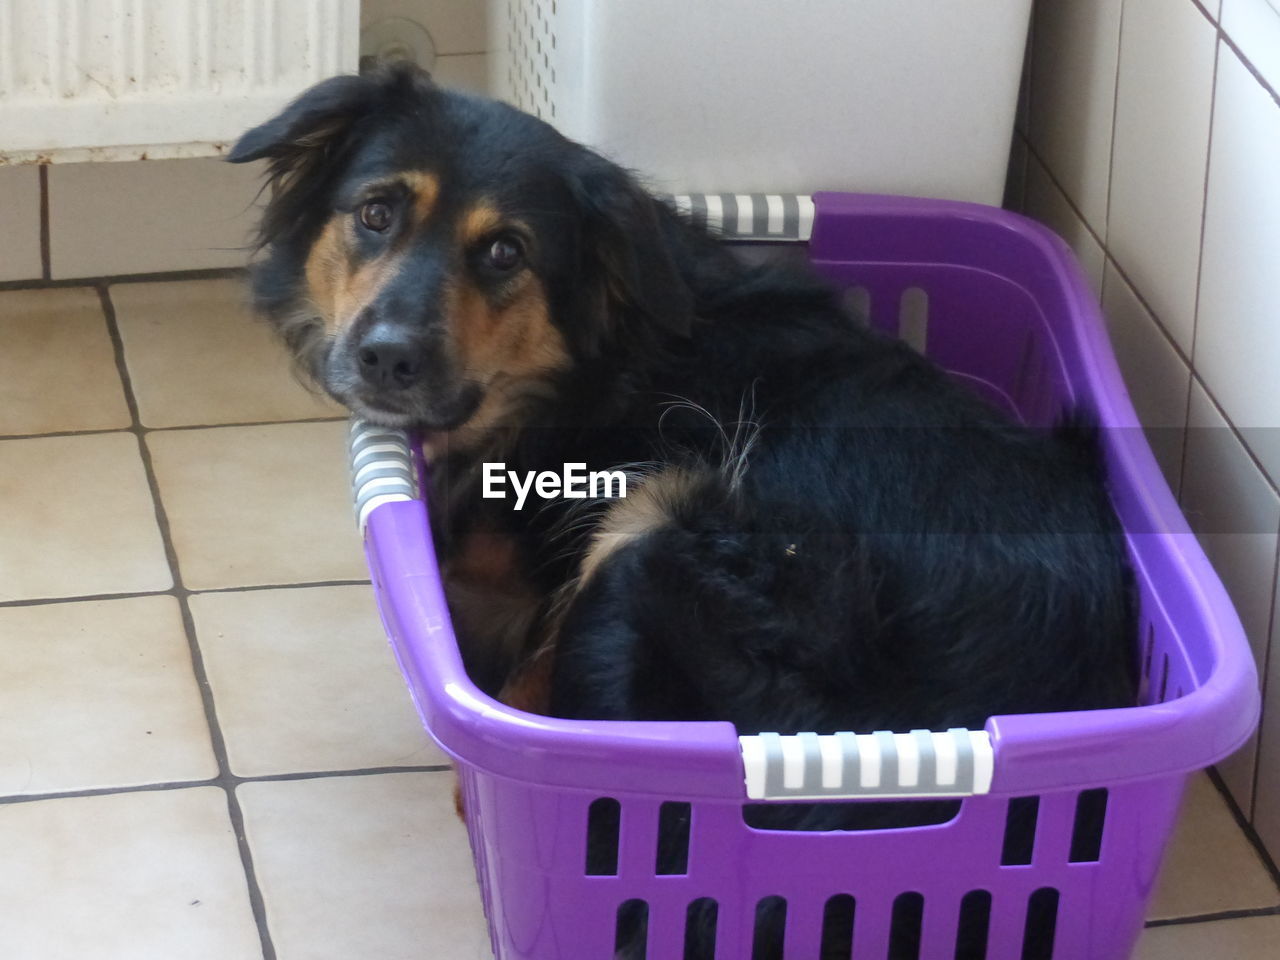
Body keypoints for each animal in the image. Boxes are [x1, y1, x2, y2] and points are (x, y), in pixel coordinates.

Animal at [235, 64, 1136, 957]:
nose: (387, 358)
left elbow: (522, 661)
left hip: (659, 525)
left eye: (505, 251)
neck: (593, 367)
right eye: (376, 212)